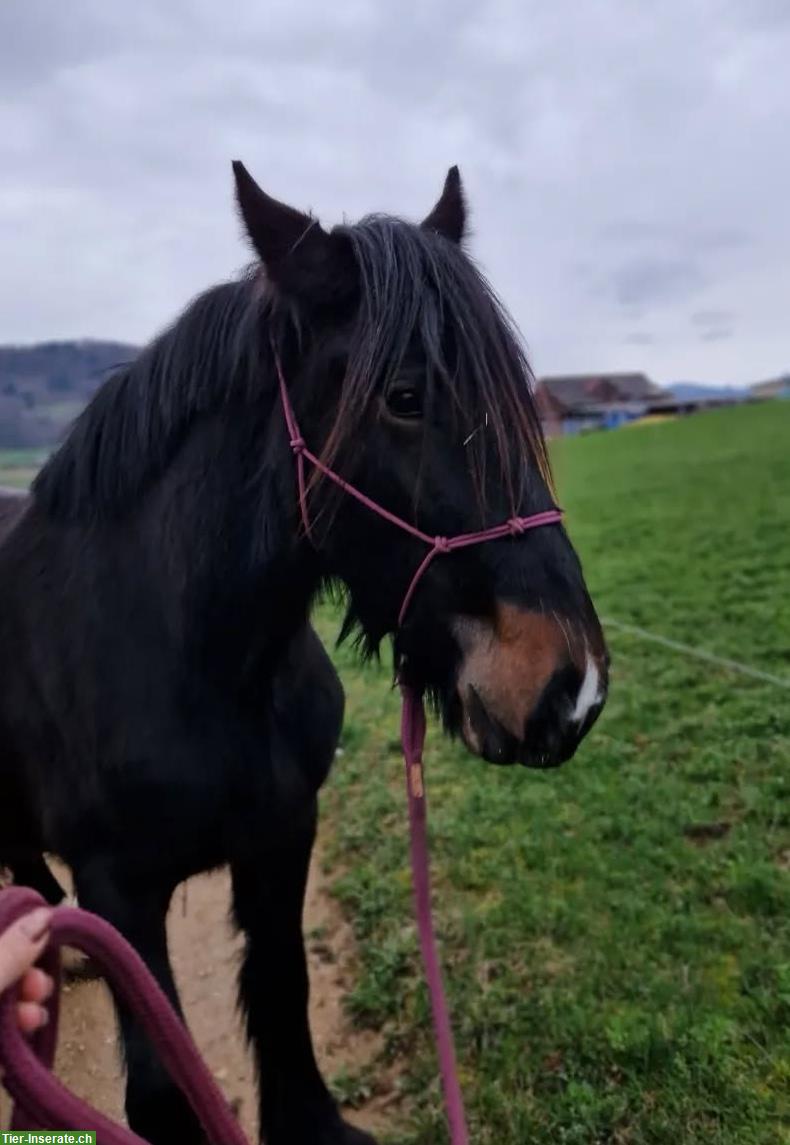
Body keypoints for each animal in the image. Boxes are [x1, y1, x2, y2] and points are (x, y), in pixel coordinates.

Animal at [0, 163, 609, 1145]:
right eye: (404, 398)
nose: (572, 686)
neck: (204, 661)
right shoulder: (119, 889)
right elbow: (161, 1088)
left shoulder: (284, 835)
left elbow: (283, 996)